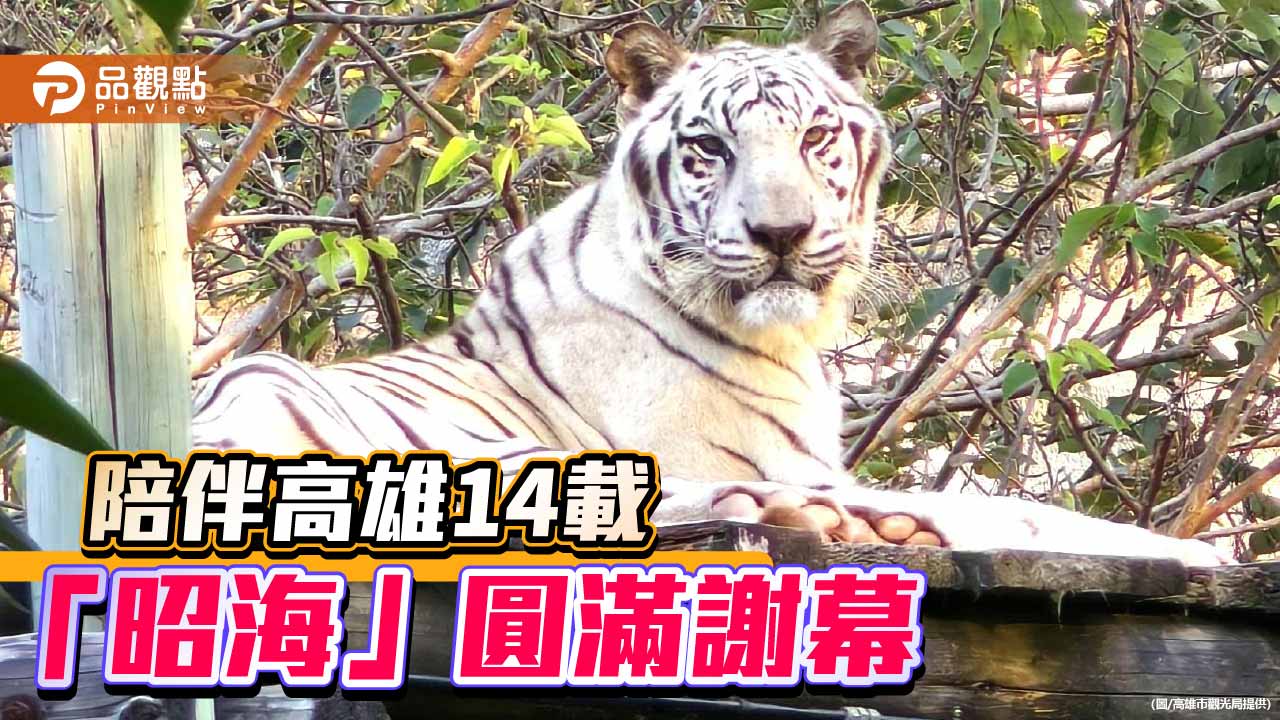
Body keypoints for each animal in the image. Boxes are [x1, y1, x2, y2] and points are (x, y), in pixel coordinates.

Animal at [192, 1, 1227, 566]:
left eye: (816, 137)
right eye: (709, 149)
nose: (782, 234)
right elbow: (1028, 511)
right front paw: (1198, 551)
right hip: (307, 398)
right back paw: (804, 516)